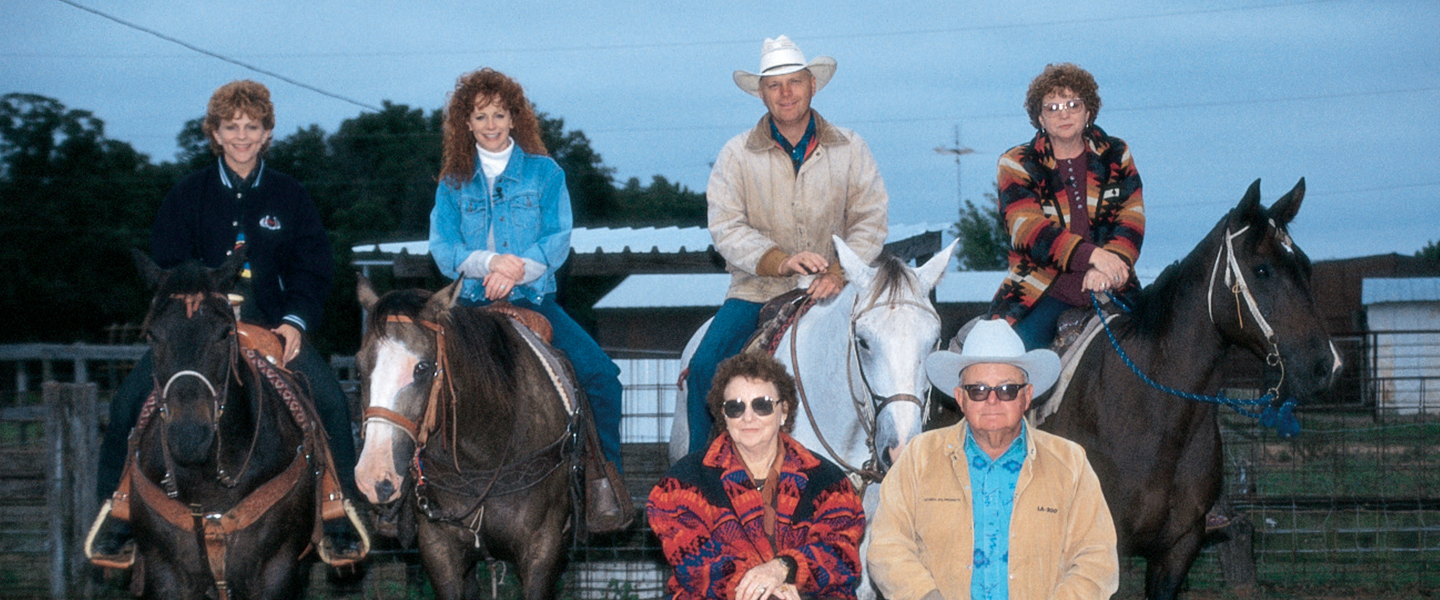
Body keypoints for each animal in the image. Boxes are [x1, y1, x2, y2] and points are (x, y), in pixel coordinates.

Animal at [352, 277, 573, 598]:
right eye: (358, 368)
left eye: (422, 368)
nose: (373, 477)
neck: (484, 454)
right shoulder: (439, 549)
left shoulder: (543, 549)